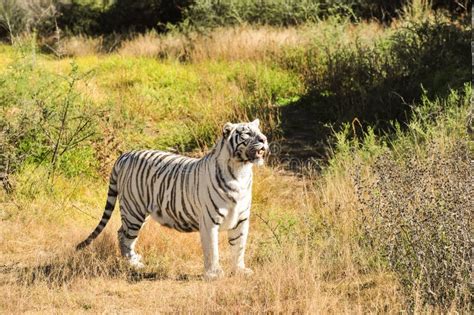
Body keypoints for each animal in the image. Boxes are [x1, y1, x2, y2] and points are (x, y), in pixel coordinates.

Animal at [78, 119, 270, 280]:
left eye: (259, 131)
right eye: (246, 133)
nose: (264, 139)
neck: (240, 172)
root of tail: (125, 155)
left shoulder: (242, 219)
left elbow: (239, 246)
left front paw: (240, 270)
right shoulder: (209, 221)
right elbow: (212, 250)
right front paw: (214, 274)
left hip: (140, 211)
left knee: (121, 233)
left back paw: (133, 260)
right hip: (134, 211)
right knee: (125, 235)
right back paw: (133, 264)